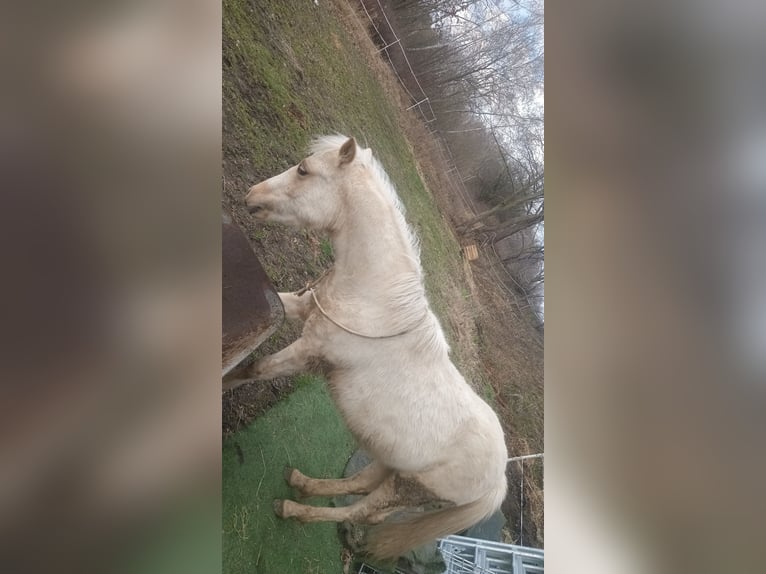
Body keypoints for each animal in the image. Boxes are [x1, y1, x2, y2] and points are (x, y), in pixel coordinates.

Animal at [235, 135, 508, 558]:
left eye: (303, 170)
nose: (252, 195)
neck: (374, 299)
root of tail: (498, 483)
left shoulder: (306, 351)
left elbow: (254, 370)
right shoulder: (301, 307)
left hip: (405, 489)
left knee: (361, 512)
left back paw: (294, 508)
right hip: (390, 463)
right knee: (360, 486)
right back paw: (302, 482)